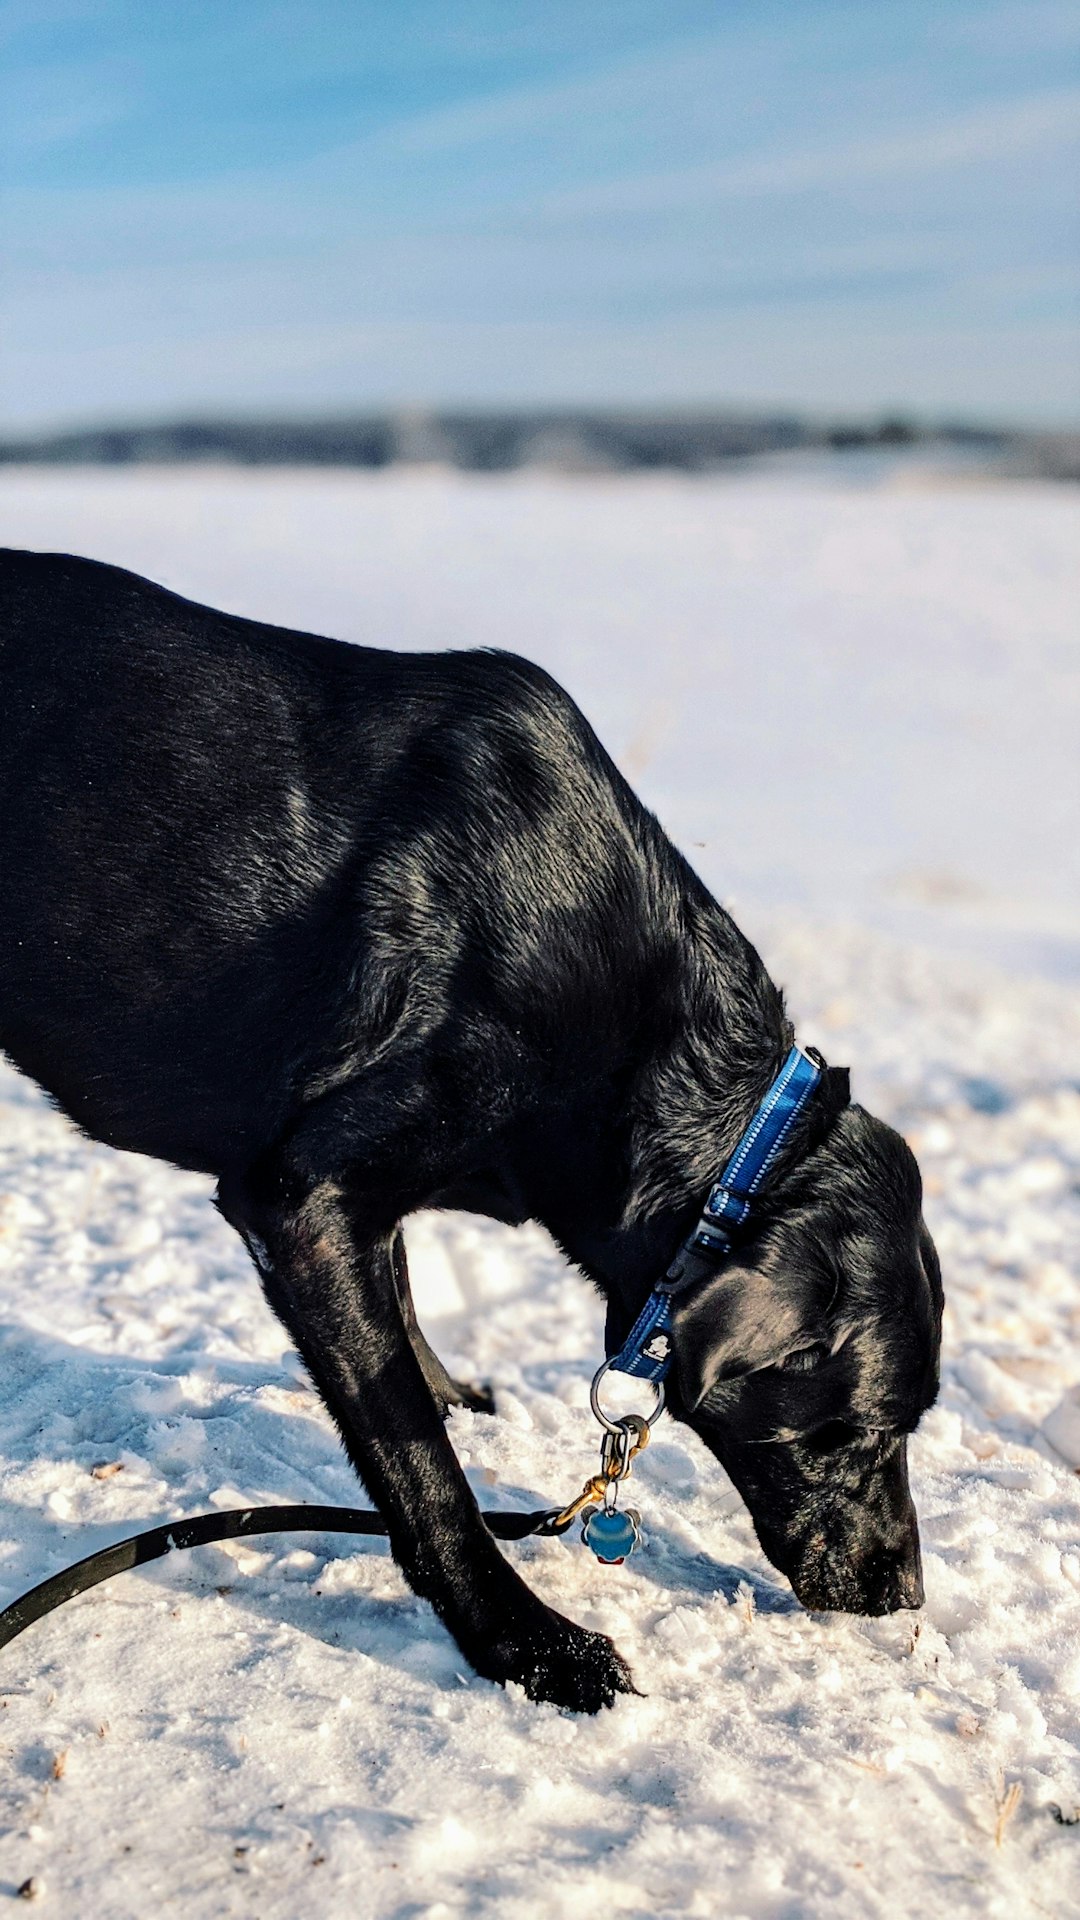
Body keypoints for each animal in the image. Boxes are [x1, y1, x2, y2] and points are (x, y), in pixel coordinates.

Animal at [0, 552, 937, 1712]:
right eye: (864, 1430)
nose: (906, 1594)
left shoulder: (354, 1203)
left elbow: (403, 1319)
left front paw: (456, 1398)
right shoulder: (299, 1198)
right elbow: (416, 1465)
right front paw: (529, 1644)